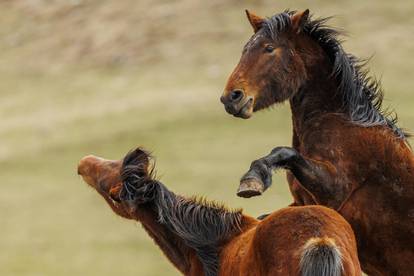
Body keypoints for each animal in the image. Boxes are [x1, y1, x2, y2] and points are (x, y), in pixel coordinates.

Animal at [222, 9, 414, 276]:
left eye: (269, 48)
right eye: (245, 49)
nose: (231, 98)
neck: (340, 122)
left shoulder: (333, 190)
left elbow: (284, 152)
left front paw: (252, 180)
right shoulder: (300, 202)